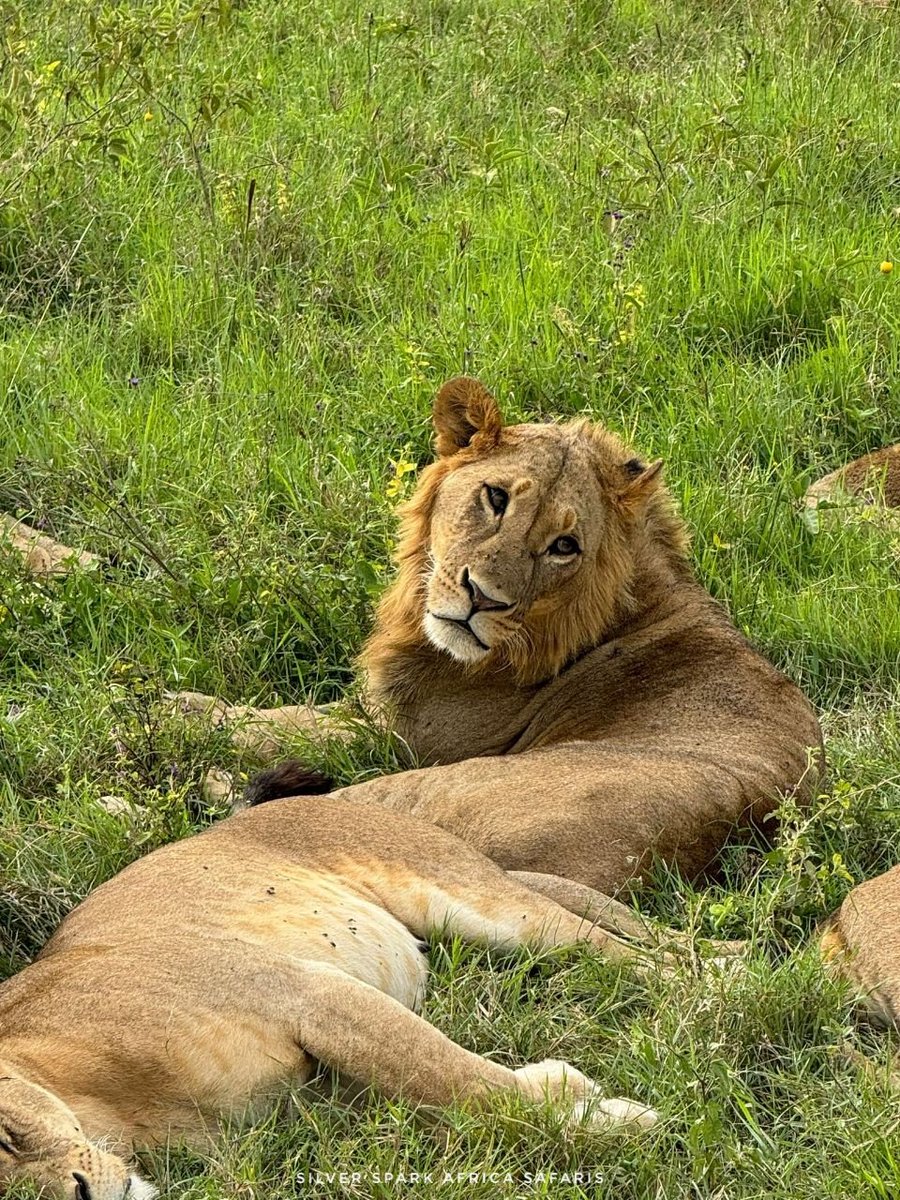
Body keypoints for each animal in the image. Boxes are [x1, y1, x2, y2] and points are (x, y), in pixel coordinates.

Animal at [0, 787, 662, 1200]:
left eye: (6, 1135)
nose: (81, 1196)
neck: (109, 1111)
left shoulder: (306, 991)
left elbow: (460, 1082)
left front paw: (616, 1123)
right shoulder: (321, 1100)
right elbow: (452, 1100)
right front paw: (569, 1094)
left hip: (477, 903)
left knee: (636, 953)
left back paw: (690, 983)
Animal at [174, 379, 825, 897]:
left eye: (564, 546)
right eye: (495, 496)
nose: (482, 597)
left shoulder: (403, 737)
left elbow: (290, 723)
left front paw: (182, 708)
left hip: (426, 793)